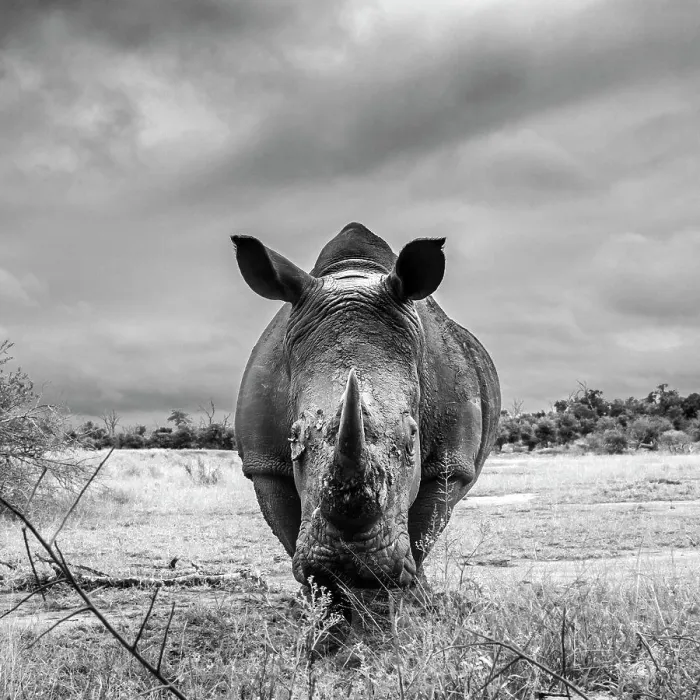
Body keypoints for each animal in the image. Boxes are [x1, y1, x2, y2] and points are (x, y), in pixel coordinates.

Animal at [232, 223, 500, 592]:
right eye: (294, 435)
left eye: (412, 436)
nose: (349, 561)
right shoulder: (264, 461)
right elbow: (285, 524)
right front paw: (322, 596)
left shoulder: (451, 462)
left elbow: (424, 526)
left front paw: (406, 595)